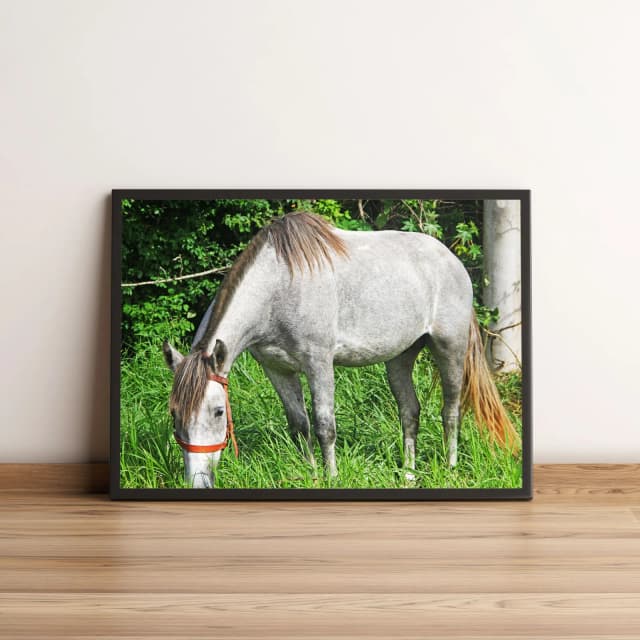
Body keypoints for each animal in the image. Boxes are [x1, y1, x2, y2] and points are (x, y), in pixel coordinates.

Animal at [162, 211, 519, 488]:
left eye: (218, 412)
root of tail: (452, 260)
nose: (198, 481)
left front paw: (331, 477)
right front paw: (310, 474)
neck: (279, 288)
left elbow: (324, 426)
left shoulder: (318, 363)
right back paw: (408, 472)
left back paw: (450, 467)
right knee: (410, 411)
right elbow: (299, 424)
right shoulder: (277, 369)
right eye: (174, 413)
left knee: (451, 411)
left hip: (450, 348)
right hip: (400, 358)